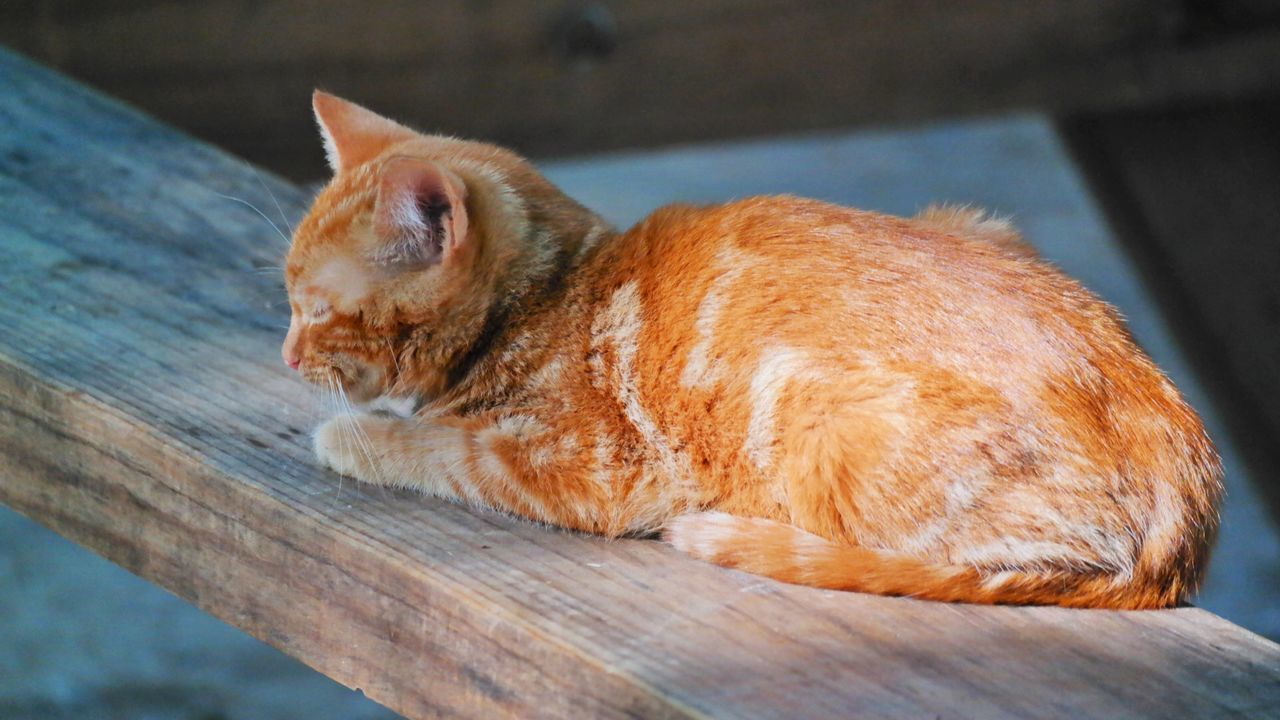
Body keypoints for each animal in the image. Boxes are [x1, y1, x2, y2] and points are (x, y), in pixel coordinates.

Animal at [285, 89, 1223, 604]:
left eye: (313, 308)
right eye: (288, 303)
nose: (288, 359)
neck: (548, 293)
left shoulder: (595, 470)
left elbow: (443, 447)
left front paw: (357, 433)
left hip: (824, 421)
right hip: (978, 222)